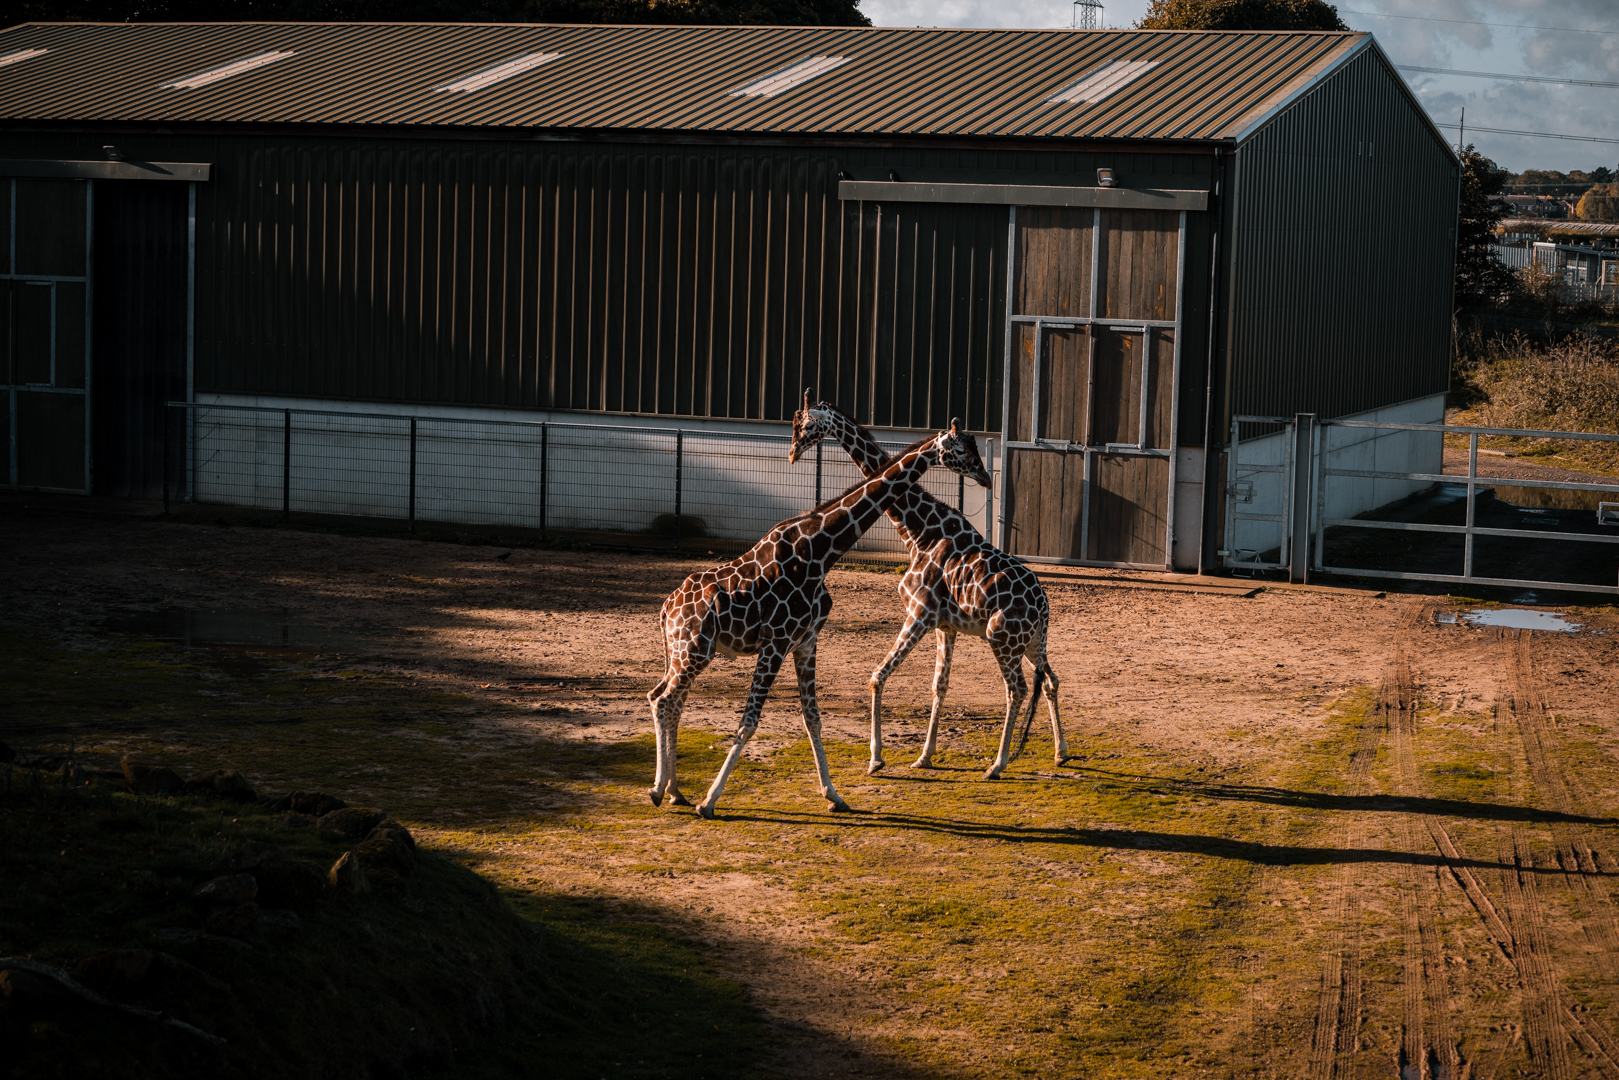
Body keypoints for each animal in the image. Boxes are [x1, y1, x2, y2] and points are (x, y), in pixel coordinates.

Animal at [648, 425, 985, 820]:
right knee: (663, 700)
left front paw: (834, 795)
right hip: (693, 651)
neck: (821, 552)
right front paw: (711, 800)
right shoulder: (776, 642)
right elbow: (749, 721)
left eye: (975, 447)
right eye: (960, 449)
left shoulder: (805, 642)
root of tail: (666, 608)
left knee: (670, 701)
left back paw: (674, 791)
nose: (985, 477)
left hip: (685, 652)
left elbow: (813, 718)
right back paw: (659, 790)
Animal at [788, 394, 1069, 781]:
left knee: (1018, 689)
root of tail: (1043, 603)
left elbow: (877, 676)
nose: (792, 453)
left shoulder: (918, 614)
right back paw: (1061, 752)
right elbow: (939, 686)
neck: (918, 531)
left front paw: (876, 759)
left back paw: (997, 765)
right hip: (1031, 641)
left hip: (1002, 637)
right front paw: (924, 756)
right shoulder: (945, 625)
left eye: (803, 423)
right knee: (1051, 680)